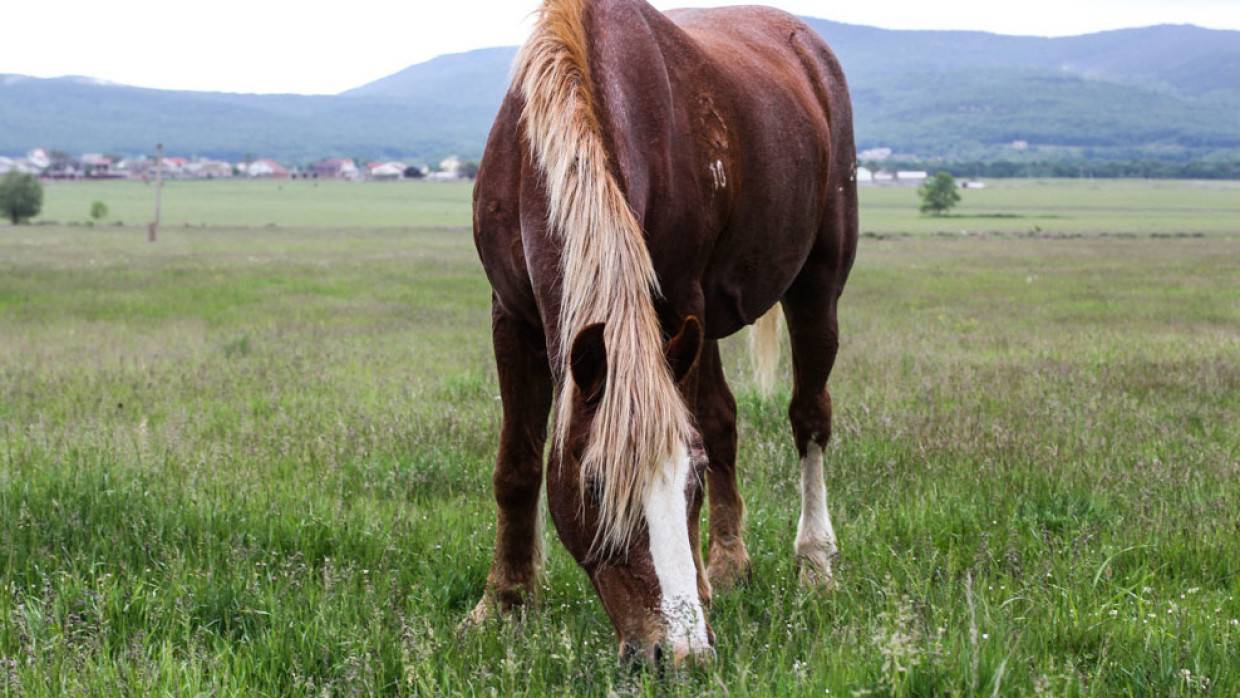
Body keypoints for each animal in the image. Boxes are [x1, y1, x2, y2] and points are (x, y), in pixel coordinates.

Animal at [468, 0, 858, 664]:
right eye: (594, 486)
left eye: (689, 480)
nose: (680, 654)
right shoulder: (512, 314)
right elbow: (516, 466)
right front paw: (503, 603)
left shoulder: (677, 303)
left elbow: (702, 432)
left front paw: (699, 586)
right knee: (725, 419)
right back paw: (730, 563)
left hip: (817, 285)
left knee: (809, 418)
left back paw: (814, 562)